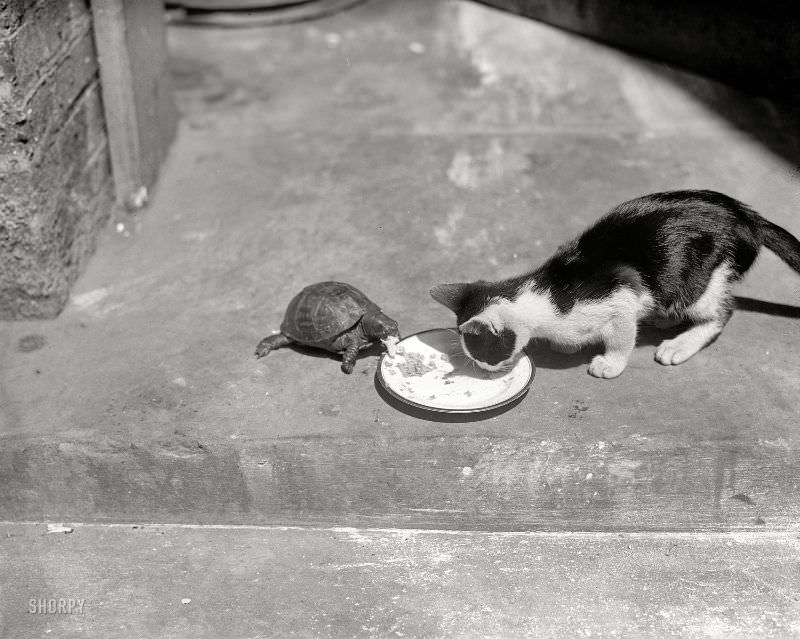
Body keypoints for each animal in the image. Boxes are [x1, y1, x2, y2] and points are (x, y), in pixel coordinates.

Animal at [432, 190, 800, 380]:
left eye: (484, 352)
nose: (485, 369)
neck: (547, 297)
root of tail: (748, 216)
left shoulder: (621, 294)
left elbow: (622, 336)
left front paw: (610, 363)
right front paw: (567, 346)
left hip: (699, 278)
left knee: (722, 311)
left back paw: (679, 343)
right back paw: (663, 319)